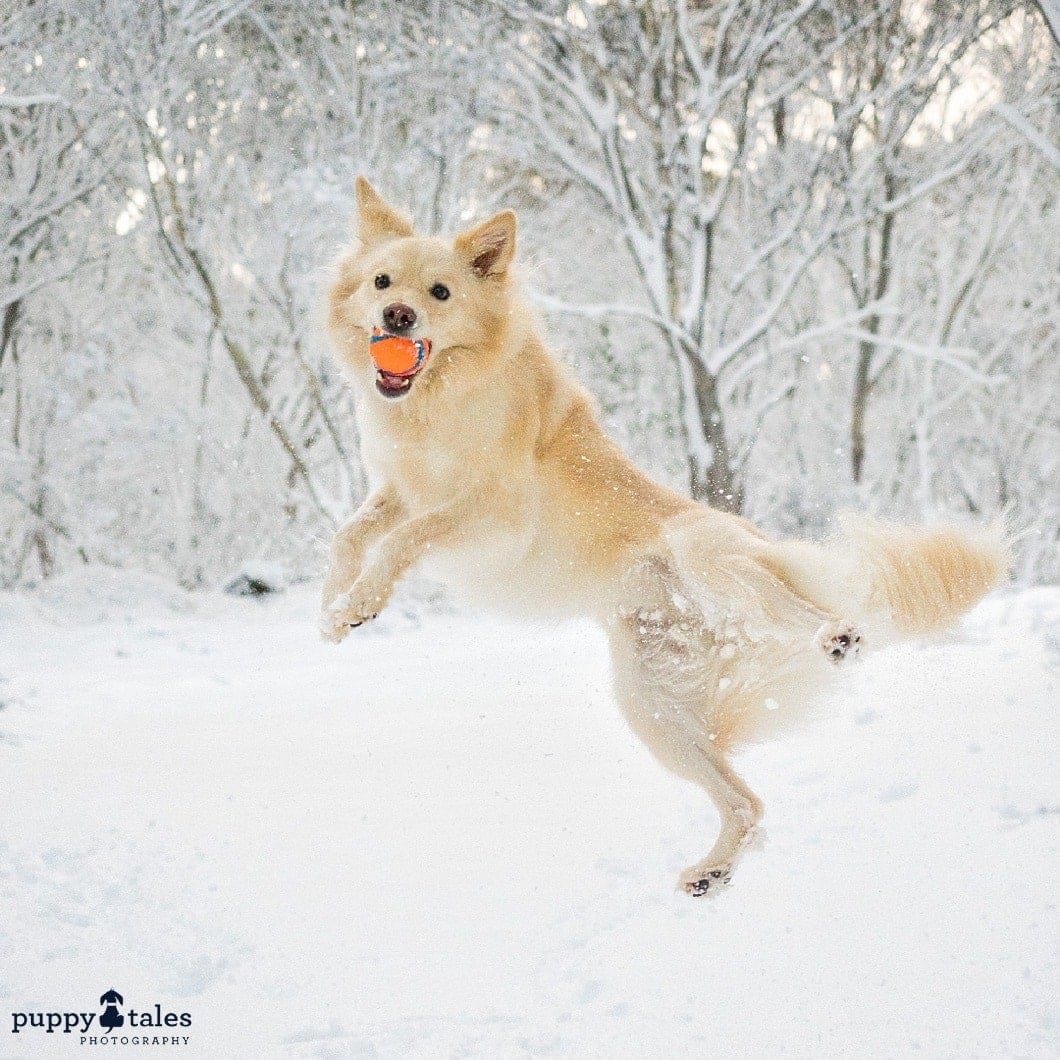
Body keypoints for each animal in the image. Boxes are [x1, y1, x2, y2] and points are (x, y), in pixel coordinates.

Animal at [322, 178, 1009, 898]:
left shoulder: (494, 512)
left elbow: (401, 541)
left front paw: (362, 604)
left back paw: (836, 634)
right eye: (382, 281)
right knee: (748, 803)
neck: (438, 398)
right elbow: (350, 536)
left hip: (699, 555)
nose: (398, 316)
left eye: (441, 293)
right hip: (652, 708)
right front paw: (334, 610)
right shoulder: (401, 490)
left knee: (803, 610)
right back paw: (712, 872)